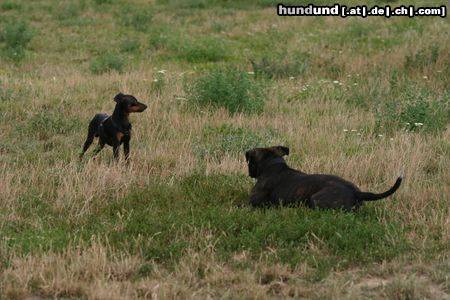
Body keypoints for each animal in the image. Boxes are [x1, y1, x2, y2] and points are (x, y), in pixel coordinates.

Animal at [244, 145, 402, 211]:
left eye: (249, 161)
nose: (249, 172)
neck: (273, 164)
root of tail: (357, 192)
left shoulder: (251, 202)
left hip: (316, 199)